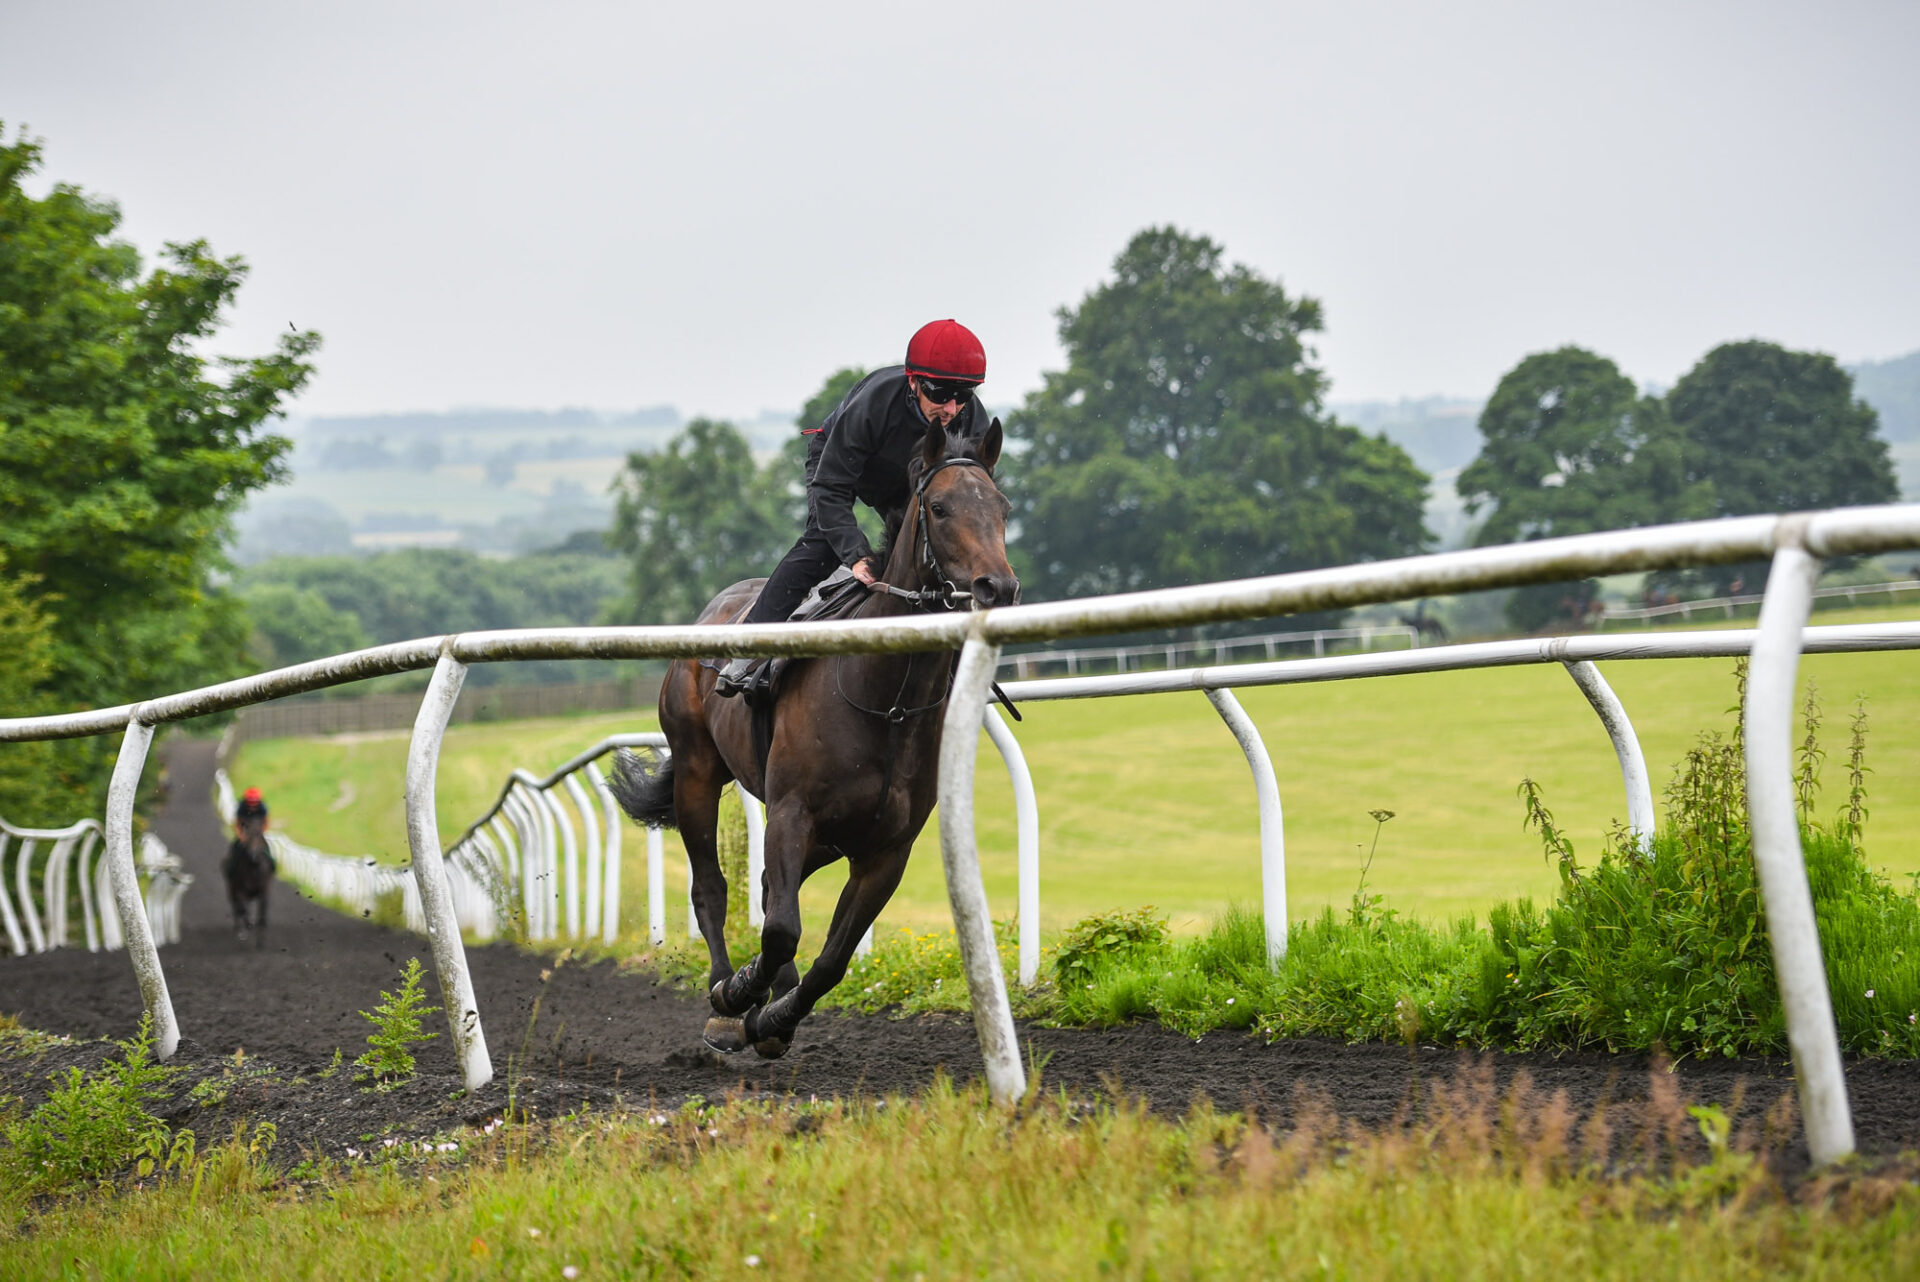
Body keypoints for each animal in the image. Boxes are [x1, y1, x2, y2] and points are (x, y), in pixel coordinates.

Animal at [223, 817, 274, 948]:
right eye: (248, 837)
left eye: (259, 836)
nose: (254, 856)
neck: (254, 870)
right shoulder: (240, 890)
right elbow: (242, 909)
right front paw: (247, 926)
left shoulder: (263, 890)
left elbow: (262, 914)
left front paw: (260, 941)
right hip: (231, 888)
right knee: (236, 908)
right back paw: (239, 930)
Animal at [614, 416, 1021, 1059]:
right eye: (938, 507)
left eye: (1002, 507)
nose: (997, 588)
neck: (888, 700)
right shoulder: (792, 812)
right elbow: (782, 930)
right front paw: (744, 998)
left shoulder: (886, 848)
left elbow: (830, 959)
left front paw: (776, 1018)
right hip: (698, 770)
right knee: (712, 887)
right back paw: (724, 994)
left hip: (830, 833)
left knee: (767, 887)